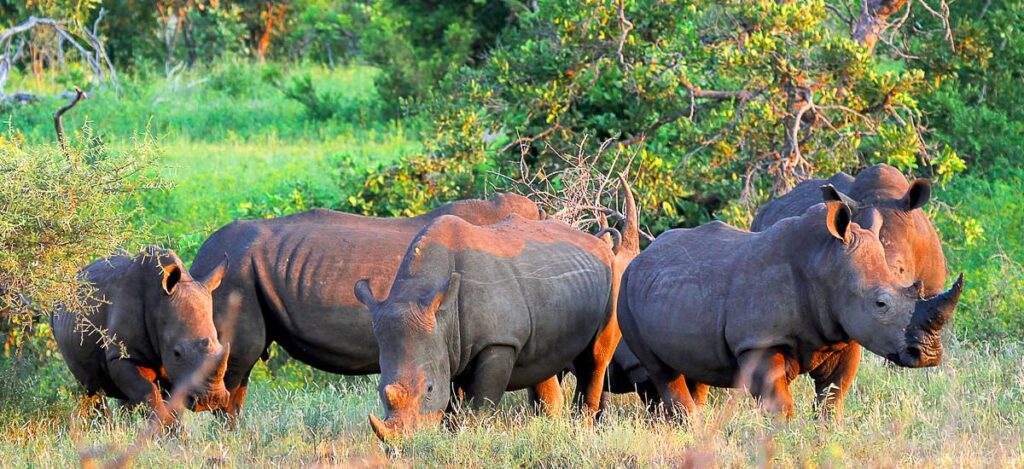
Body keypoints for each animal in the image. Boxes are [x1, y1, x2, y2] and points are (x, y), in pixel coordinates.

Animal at [51, 247, 230, 424]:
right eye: (177, 353)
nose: (212, 400)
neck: (158, 302)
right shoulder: (122, 356)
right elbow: (148, 394)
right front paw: (161, 428)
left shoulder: (175, 369)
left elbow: (174, 406)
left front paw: (174, 431)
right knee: (91, 388)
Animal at [355, 198, 638, 441]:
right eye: (379, 391)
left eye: (430, 389)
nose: (402, 444)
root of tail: (599, 244)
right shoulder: (449, 343)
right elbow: (454, 404)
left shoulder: (498, 342)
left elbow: (478, 404)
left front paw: (467, 437)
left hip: (614, 277)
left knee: (595, 358)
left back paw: (581, 430)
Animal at [609, 164, 950, 413]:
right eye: (881, 304)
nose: (928, 355)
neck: (826, 265)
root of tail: (641, 258)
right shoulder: (759, 341)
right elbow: (780, 404)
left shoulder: (845, 332)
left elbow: (832, 397)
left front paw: (824, 436)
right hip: (624, 299)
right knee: (662, 373)